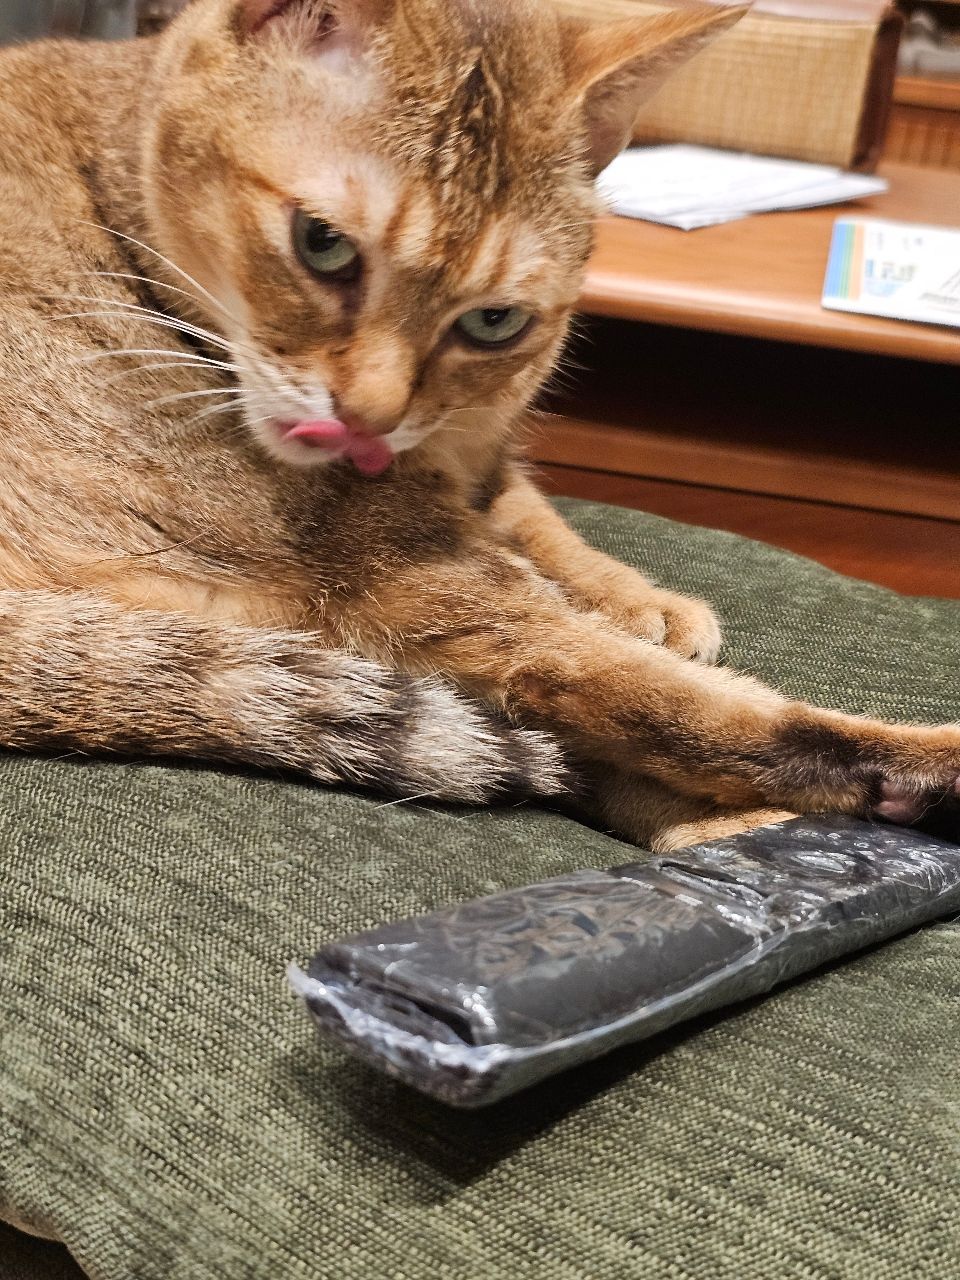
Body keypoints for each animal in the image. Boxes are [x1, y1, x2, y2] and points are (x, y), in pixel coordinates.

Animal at [0, 0, 955, 854]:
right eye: (321, 243)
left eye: (494, 322)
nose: (369, 418)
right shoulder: (411, 558)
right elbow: (630, 679)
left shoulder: (471, 463)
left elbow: (533, 512)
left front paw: (641, 597)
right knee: (660, 705)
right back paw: (894, 778)